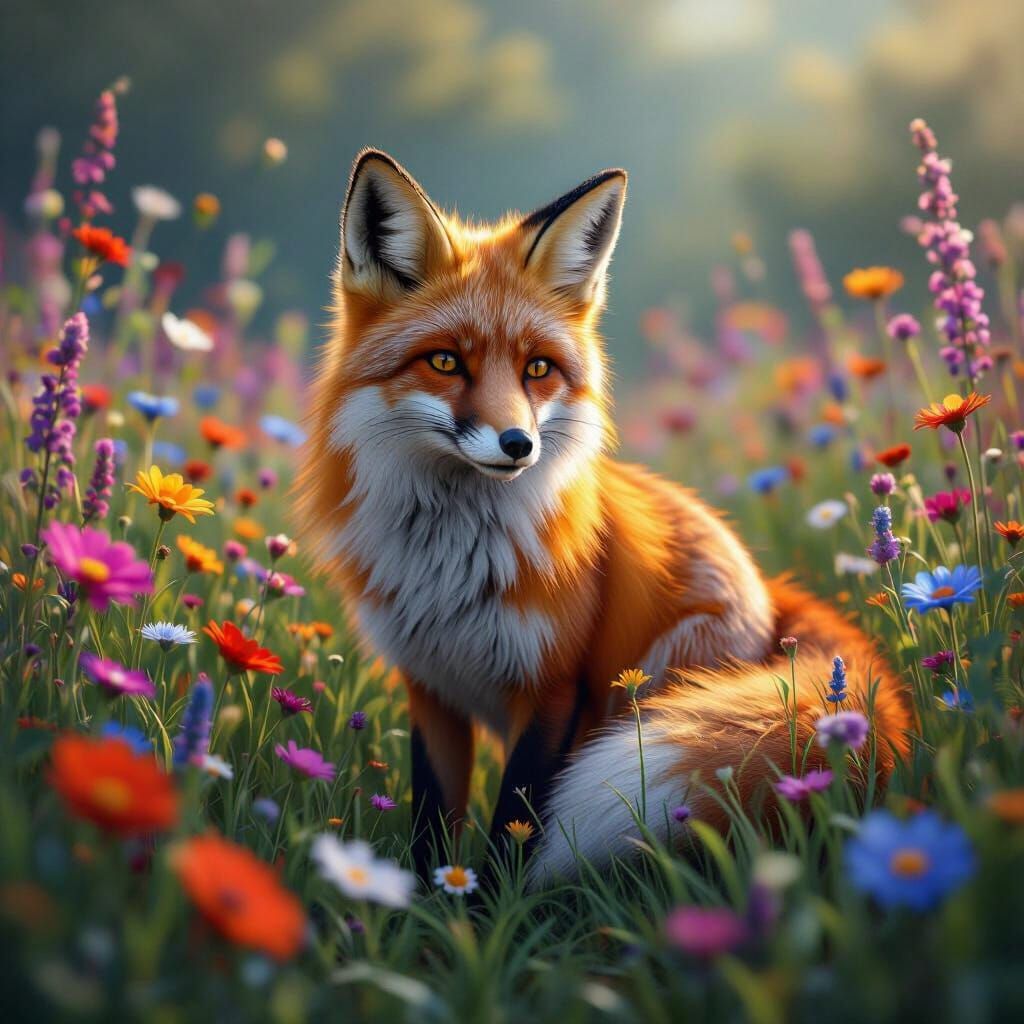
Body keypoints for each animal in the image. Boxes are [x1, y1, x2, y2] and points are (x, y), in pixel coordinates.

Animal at [294, 149, 913, 882]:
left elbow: (513, 825)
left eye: (537, 369)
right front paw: (423, 901)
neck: (450, 565)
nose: (518, 444)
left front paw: (494, 905)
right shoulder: (432, 688)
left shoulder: (556, 687)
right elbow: (431, 825)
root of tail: (775, 599)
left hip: (657, 681)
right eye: (445, 361)